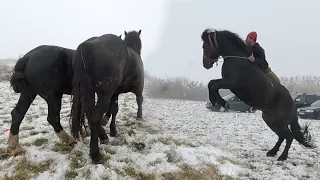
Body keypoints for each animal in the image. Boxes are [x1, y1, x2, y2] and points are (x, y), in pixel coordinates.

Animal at [70, 29, 142, 163]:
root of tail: (87, 46)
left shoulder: (115, 93)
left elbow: (114, 109)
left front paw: (111, 128)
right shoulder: (136, 88)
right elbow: (137, 102)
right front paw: (139, 116)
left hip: (90, 93)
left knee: (91, 114)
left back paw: (102, 136)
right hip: (104, 95)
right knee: (94, 118)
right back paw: (95, 153)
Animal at [201, 28, 316, 160]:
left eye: (205, 46)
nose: (206, 64)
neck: (237, 59)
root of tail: (293, 104)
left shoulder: (231, 83)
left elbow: (214, 85)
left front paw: (221, 103)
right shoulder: (226, 81)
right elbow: (211, 83)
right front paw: (219, 102)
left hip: (279, 121)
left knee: (289, 136)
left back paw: (282, 157)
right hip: (270, 120)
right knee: (282, 136)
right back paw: (272, 152)